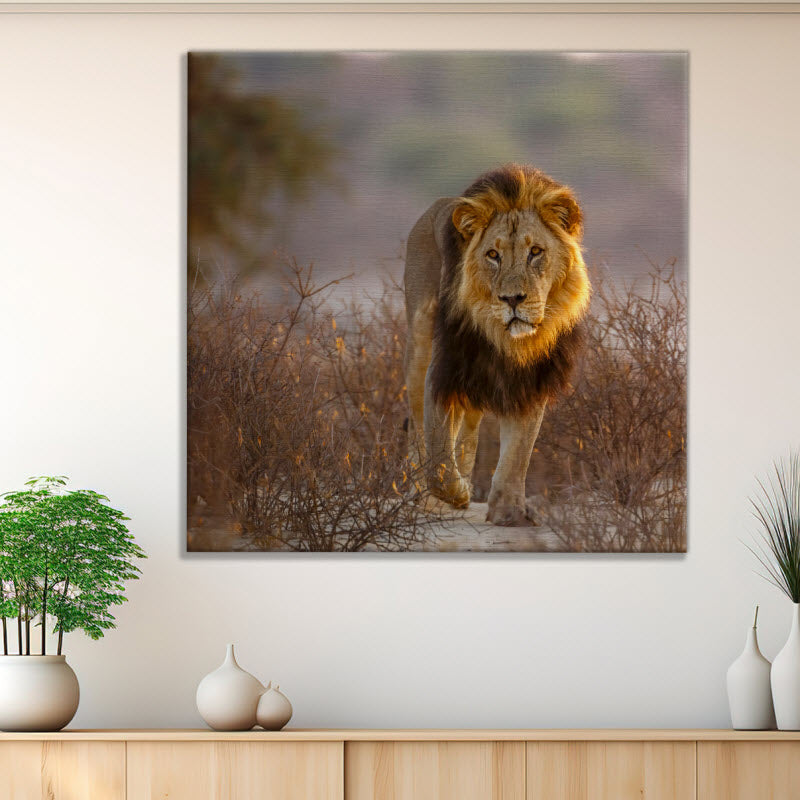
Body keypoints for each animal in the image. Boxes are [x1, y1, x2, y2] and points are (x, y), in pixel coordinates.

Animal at [403, 163, 591, 526]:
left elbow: (517, 453)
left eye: (536, 252)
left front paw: (508, 512)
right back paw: (424, 495)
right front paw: (456, 493)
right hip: (419, 343)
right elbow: (437, 450)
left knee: (469, 425)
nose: (513, 299)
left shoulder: (531, 381)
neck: (504, 340)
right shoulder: (443, 370)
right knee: (417, 422)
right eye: (493, 255)